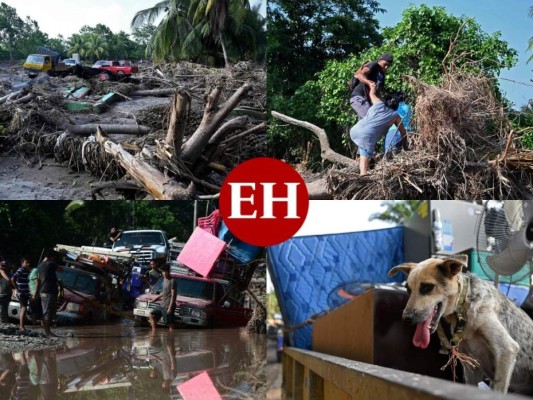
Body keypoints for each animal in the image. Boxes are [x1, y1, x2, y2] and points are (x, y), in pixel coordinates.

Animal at [386, 256, 532, 394]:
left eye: (427, 287)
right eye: (408, 290)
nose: (406, 318)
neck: (464, 304)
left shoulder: (506, 349)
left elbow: (498, 389)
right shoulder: (471, 365)